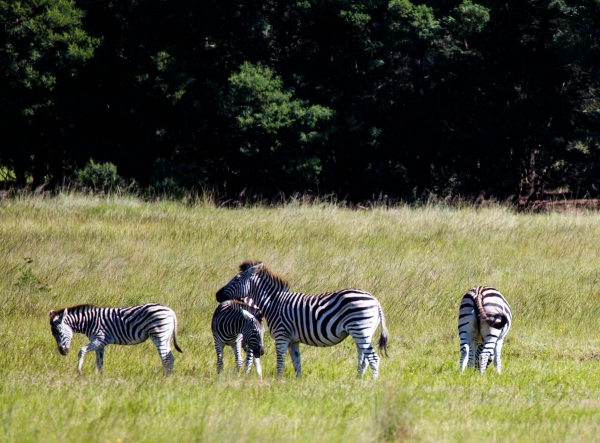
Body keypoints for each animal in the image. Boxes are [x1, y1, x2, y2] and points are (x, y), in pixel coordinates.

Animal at [48, 302, 183, 374]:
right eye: (53, 335)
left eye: (59, 332)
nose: (63, 352)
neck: (89, 321)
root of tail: (170, 311)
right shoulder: (100, 343)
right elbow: (99, 362)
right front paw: (100, 377)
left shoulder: (100, 338)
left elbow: (82, 350)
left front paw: (79, 372)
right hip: (165, 337)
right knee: (170, 358)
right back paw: (168, 378)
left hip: (159, 335)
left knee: (166, 358)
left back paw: (164, 379)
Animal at [216, 262, 390, 380]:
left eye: (236, 279)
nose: (217, 295)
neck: (273, 303)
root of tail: (375, 300)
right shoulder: (293, 340)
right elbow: (296, 362)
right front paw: (297, 383)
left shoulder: (281, 336)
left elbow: (280, 361)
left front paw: (278, 382)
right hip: (362, 332)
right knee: (364, 359)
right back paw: (358, 381)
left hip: (360, 329)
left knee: (373, 358)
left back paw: (373, 384)